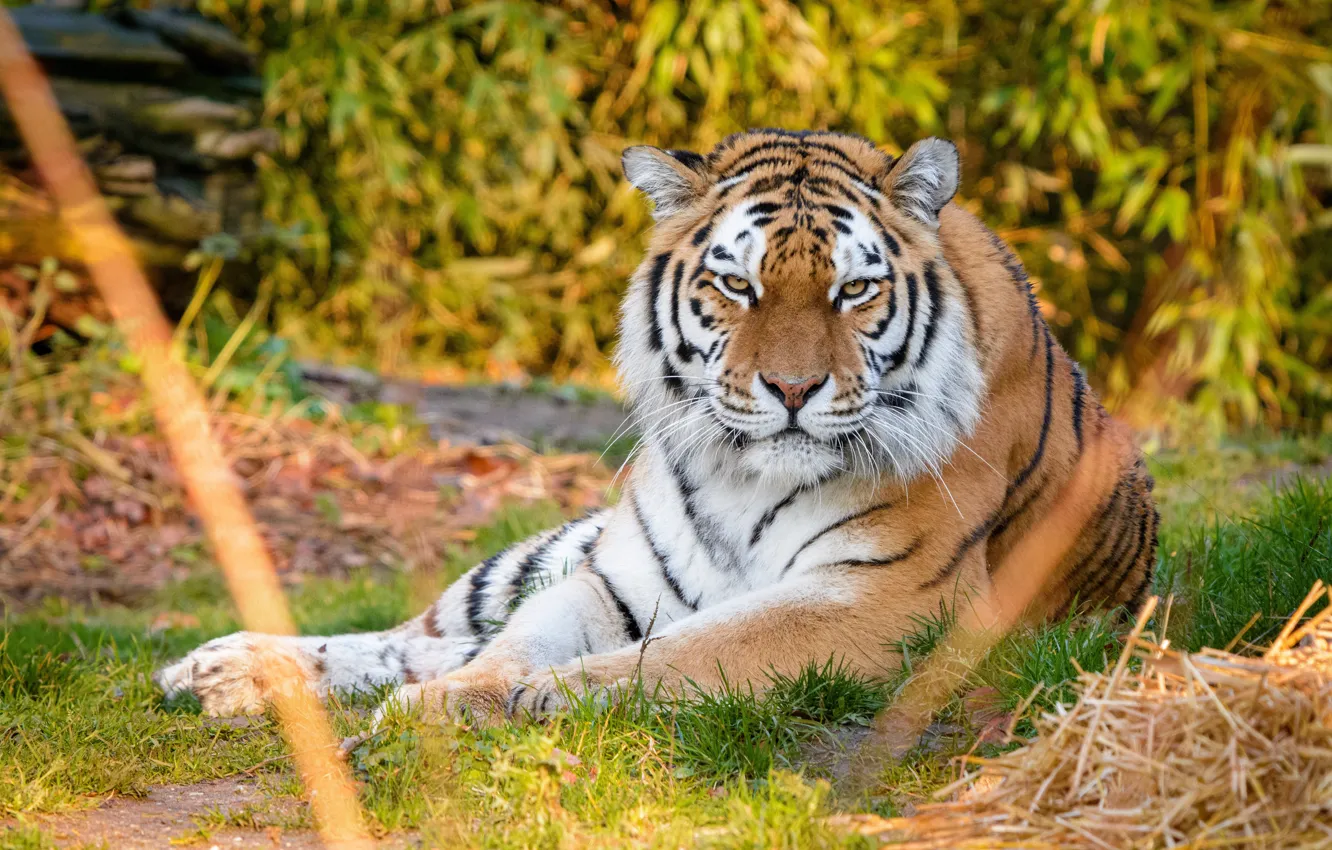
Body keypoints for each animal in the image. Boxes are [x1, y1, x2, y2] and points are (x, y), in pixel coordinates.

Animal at [155, 130, 1158, 733]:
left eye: (854, 290)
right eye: (738, 285)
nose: (792, 387)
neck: (747, 478)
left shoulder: (892, 600)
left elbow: (694, 646)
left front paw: (540, 696)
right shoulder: (616, 576)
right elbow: (521, 639)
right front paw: (455, 702)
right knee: (424, 632)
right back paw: (218, 670)